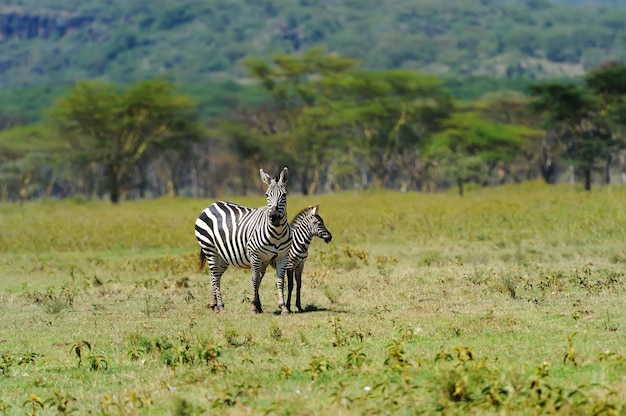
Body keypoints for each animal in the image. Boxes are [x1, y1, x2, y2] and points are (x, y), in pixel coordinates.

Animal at [194, 167, 292, 314]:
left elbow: (280, 281)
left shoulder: (282, 257)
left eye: (284, 195)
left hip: (222, 256)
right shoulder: (255, 255)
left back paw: (214, 306)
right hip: (209, 249)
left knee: (214, 276)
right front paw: (253, 307)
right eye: (267, 195)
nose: (274, 217)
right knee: (214, 276)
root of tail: (211, 205)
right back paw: (220, 306)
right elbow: (255, 280)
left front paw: (283, 307)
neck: (277, 233)